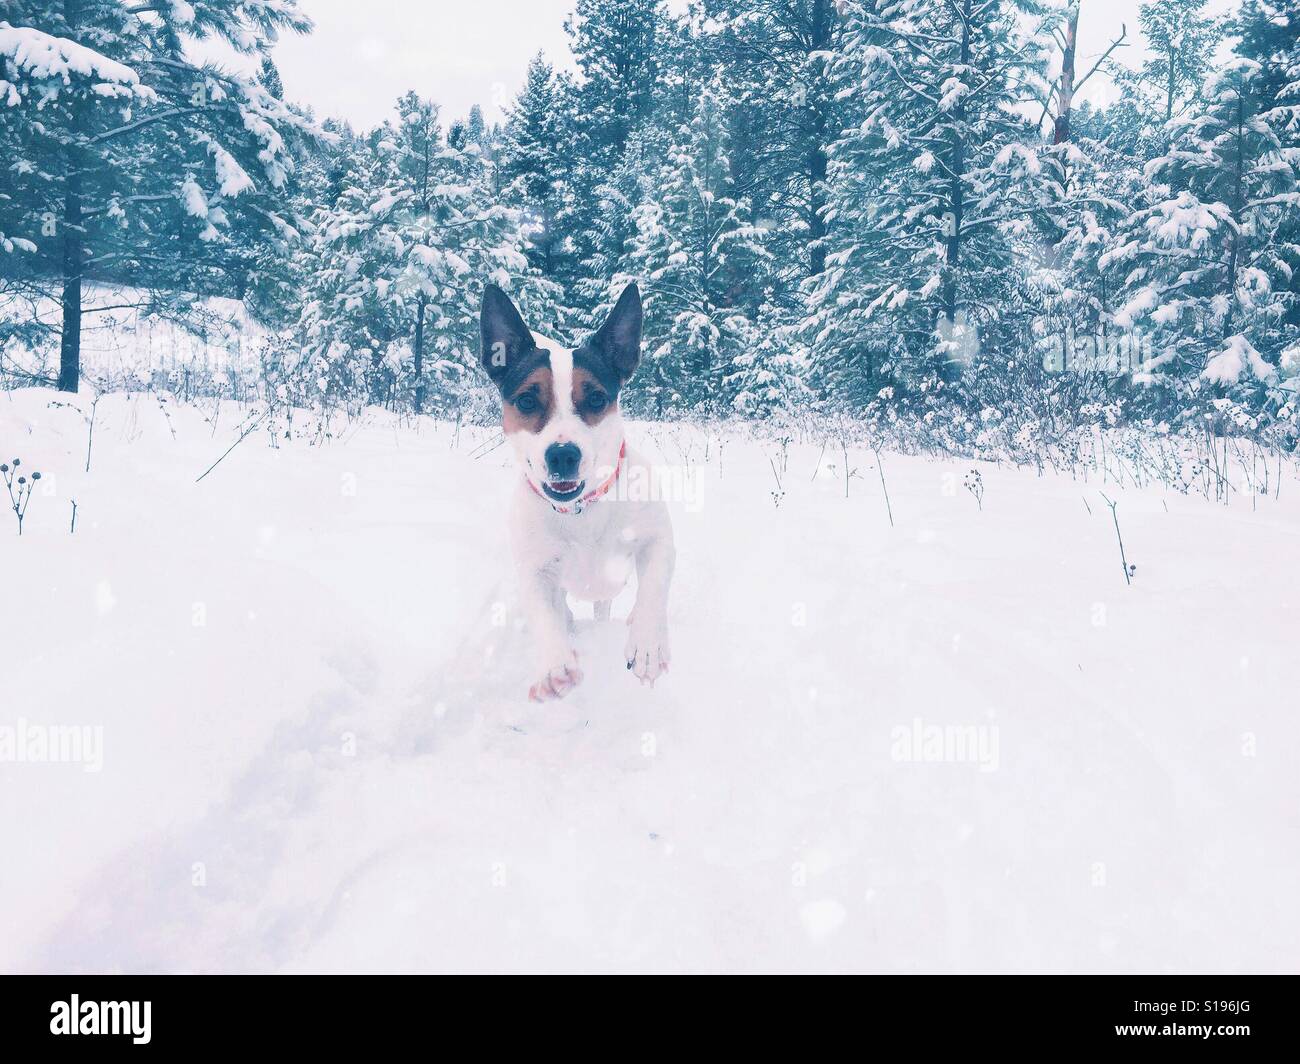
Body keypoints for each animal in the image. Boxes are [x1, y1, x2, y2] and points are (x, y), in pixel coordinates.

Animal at [480, 278, 681, 702]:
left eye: (596, 398)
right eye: (527, 399)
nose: (563, 455)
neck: (582, 510)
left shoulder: (656, 540)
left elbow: (654, 586)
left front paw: (648, 645)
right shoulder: (536, 568)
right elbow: (544, 614)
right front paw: (555, 663)